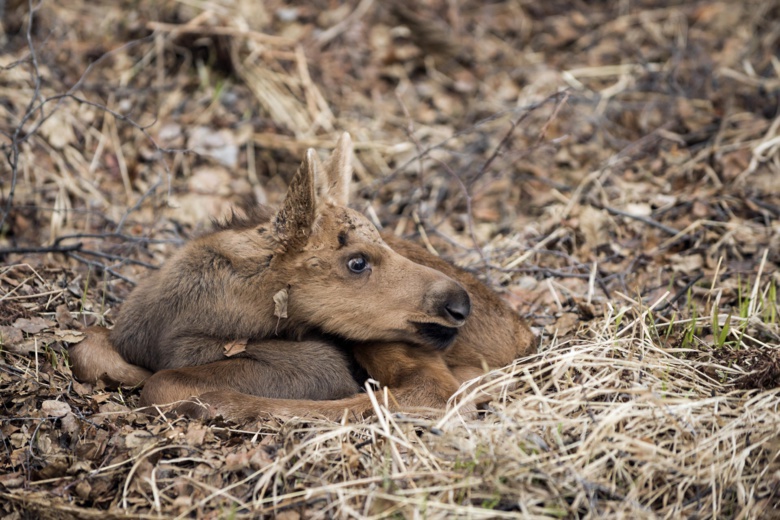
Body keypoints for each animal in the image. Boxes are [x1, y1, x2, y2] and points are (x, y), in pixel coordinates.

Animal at [71, 133, 536, 422]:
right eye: (356, 262)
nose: (457, 303)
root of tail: (524, 336)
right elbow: (87, 346)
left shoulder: (319, 362)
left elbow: (162, 382)